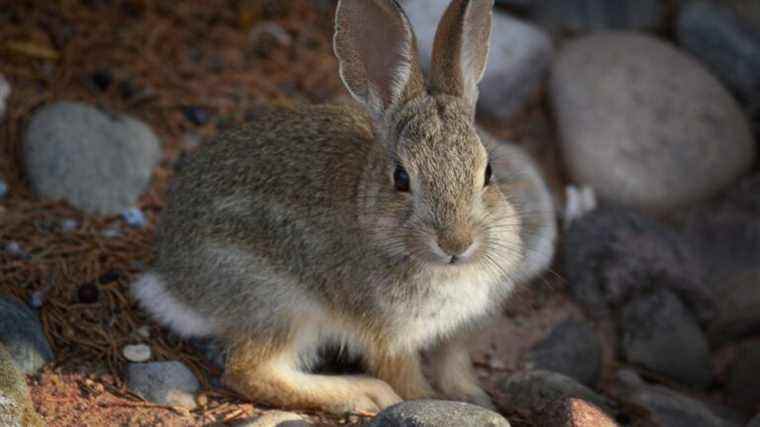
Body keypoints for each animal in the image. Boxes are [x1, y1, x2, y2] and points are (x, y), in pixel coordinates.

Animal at [134, 0, 556, 416]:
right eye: (401, 178)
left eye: (488, 172)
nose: (456, 244)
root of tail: (172, 281)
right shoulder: (388, 336)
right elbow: (408, 382)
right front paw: (426, 401)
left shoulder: (455, 334)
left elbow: (453, 366)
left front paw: (474, 398)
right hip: (279, 302)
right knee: (249, 371)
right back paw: (364, 394)